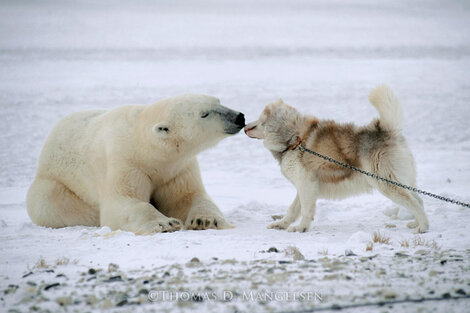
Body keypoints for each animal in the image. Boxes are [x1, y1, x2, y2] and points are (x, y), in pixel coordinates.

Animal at [27, 94, 244, 233]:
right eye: (204, 114)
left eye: (218, 101)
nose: (239, 117)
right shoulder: (126, 162)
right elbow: (122, 201)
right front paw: (165, 223)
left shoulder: (176, 168)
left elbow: (187, 196)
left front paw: (205, 220)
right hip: (54, 182)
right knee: (49, 201)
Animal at [246, 85, 430, 232]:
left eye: (261, 121)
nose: (245, 126)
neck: (294, 139)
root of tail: (388, 131)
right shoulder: (305, 186)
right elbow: (293, 209)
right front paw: (281, 224)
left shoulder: (306, 184)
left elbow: (305, 210)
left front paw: (301, 228)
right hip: (402, 181)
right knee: (419, 200)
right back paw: (415, 223)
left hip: (387, 183)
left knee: (414, 202)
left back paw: (423, 227)